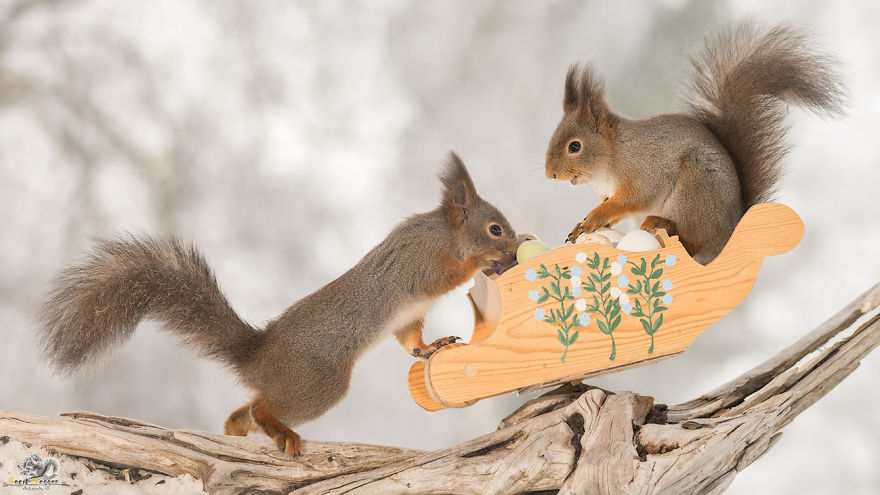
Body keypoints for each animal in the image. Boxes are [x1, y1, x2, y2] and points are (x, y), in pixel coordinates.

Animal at [39, 152, 520, 455]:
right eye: (495, 229)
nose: (512, 250)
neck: (445, 235)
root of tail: (258, 356)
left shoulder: (409, 316)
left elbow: (411, 341)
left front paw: (433, 346)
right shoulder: (419, 265)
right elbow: (445, 276)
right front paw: (480, 262)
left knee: (247, 408)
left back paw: (236, 428)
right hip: (317, 383)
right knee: (262, 407)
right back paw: (280, 432)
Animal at [545, 21, 844, 264]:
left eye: (574, 146)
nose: (550, 174)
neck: (614, 155)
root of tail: (728, 235)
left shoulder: (644, 172)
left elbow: (632, 199)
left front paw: (594, 217)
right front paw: (583, 224)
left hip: (696, 185)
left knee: (691, 243)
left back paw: (661, 223)